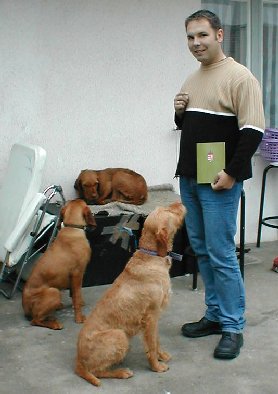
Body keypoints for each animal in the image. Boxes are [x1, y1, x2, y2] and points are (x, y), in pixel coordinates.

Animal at [21, 199, 96, 330]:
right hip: (54, 292)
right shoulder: (77, 274)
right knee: (35, 320)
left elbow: (74, 294)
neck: (72, 228)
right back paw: (54, 324)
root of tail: (25, 308)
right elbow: (77, 296)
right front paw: (79, 318)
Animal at [75, 202, 186, 386]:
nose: (180, 202)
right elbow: (151, 345)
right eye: (168, 210)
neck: (152, 256)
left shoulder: (155, 317)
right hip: (119, 335)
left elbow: (156, 340)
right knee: (97, 371)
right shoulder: (151, 317)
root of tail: (78, 362)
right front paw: (156, 366)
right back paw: (121, 372)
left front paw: (161, 356)